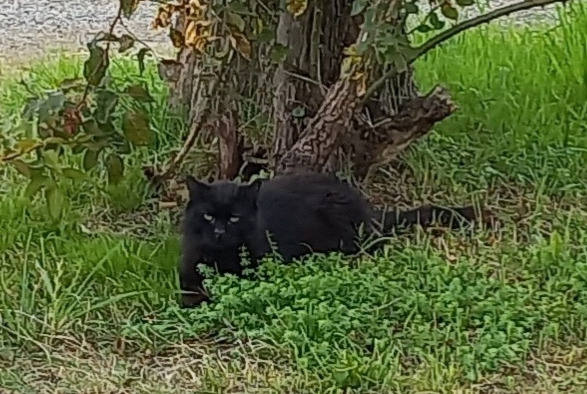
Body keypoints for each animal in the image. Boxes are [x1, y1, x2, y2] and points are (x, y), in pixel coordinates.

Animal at [180, 173, 492, 308]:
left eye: (234, 218)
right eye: (208, 216)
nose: (219, 232)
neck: (220, 257)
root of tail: (368, 208)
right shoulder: (187, 269)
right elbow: (190, 289)